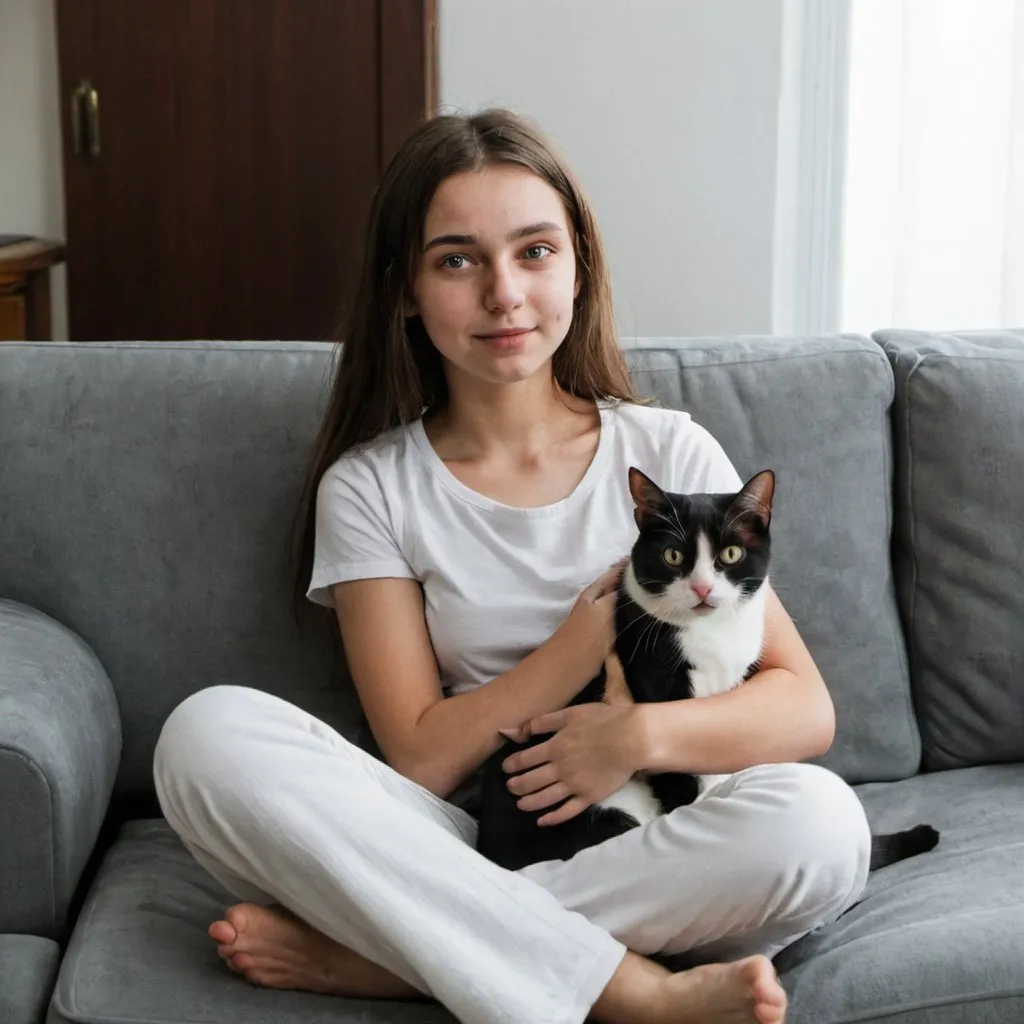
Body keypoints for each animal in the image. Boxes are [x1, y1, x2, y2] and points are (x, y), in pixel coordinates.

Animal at [471, 464, 937, 872]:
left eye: (731, 553)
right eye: (673, 555)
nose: (702, 588)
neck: (712, 633)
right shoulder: (653, 676)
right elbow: (673, 763)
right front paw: (691, 805)